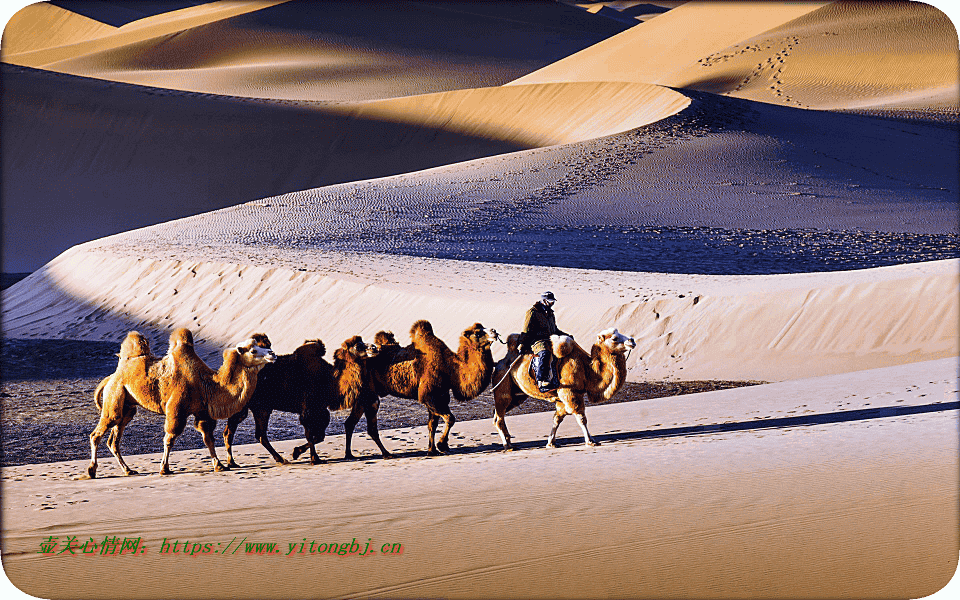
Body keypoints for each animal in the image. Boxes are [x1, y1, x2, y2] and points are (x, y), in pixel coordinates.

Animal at [85, 328, 278, 478]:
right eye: (253, 351)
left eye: (264, 346)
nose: (273, 354)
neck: (206, 384)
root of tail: (111, 377)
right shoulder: (177, 408)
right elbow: (170, 438)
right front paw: (164, 468)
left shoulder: (202, 412)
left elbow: (208, 438)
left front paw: (219, 465)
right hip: (114, 397)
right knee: (97, 433)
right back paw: (91, 471)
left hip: (128, 407)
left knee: (114, 440)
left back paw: (128, 470)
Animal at [370, 322, 498, 452]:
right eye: (477, 333)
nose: (495, 331)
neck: (450, 368)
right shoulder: (429, 396)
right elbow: (450, 418)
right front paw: (441, 445)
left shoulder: (441, 396)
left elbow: (432, 424)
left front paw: (432, 450)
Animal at [496, 328, 636, 450]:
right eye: (614, 338)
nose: (632, 340)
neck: (587, 369)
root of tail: (501, 362)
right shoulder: (570, 392)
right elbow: (581, 418)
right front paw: (590, 441)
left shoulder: (562, 399)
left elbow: (557, 419)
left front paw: (550, 443)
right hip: (502, 388)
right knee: (498, 418)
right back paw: (507, 446)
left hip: (517, 396)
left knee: (500, 415)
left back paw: (509, 442)